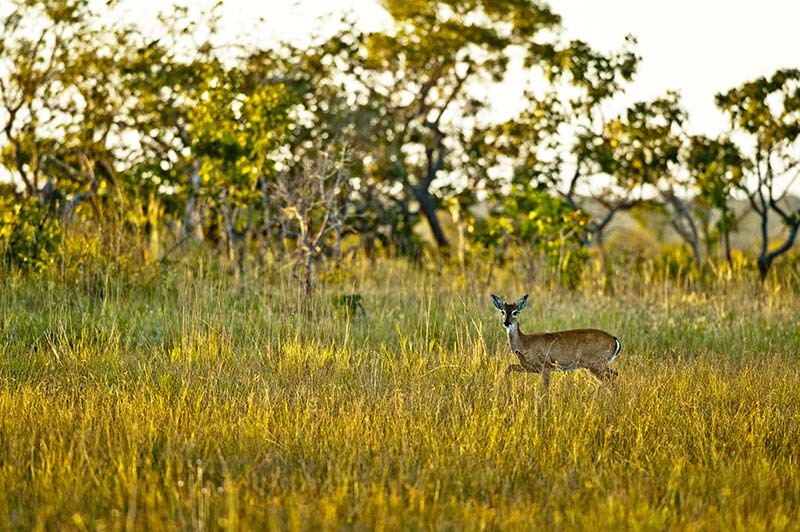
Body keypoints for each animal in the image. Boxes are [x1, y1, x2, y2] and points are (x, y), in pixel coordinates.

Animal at [490, 296, 620, 390]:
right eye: (502, 311)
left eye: (515, 312)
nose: (506, 322)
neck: (524, 343)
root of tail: (615, 340)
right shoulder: (529, 367)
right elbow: (508, 368)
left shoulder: (546, 366)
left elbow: (545, 390)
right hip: (597, 365)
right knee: (614, 376)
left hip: (595, 363)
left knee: (612, 377)